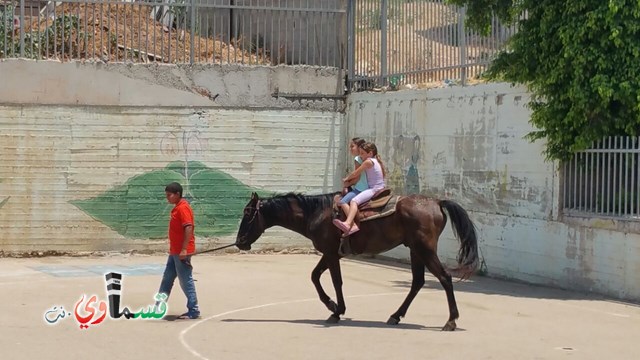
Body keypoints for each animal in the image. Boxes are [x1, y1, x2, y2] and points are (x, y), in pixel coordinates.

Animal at [238, 193, 478, 330]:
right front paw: (332, 305)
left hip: (424, 250)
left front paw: (336, 309)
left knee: (445, 278)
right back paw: (395, 316)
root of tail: (436, 202)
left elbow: (334, 281)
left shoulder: (331, 253)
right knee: (417, 282)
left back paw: (451, 321)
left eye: (248, 213)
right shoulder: (330, 253)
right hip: (416, 251)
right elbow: (315, 276)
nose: (239, 242)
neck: (317, 212)